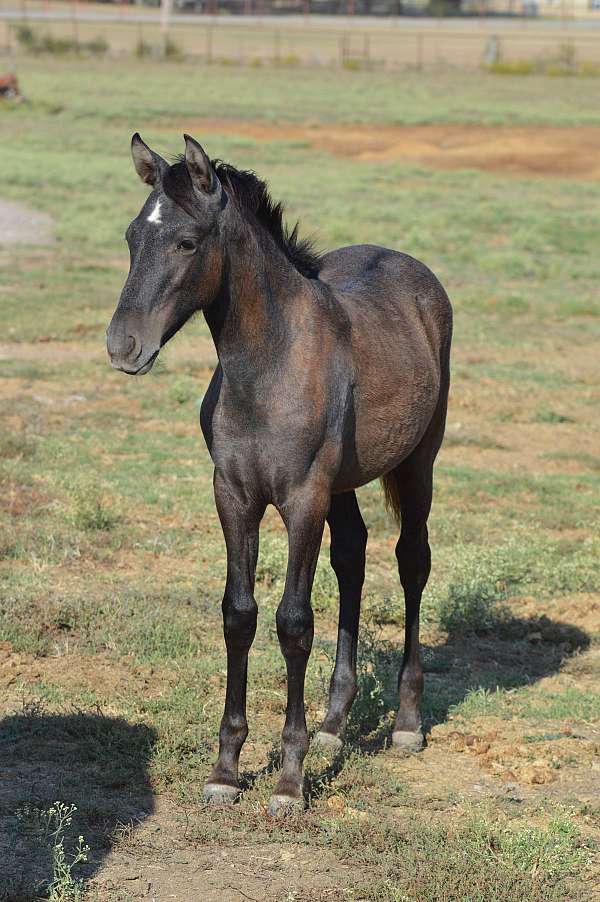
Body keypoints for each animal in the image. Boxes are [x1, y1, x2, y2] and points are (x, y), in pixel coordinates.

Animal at [108, 134, 452, 820]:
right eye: (133, 236)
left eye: (186, 242)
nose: (122, 345)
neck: (269, 367)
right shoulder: (234, 496)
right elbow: (238, 614)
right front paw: (225, 770)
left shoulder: (301, 500)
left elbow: (294, 624)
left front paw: (289, 781)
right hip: (344, 485)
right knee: (353, 558)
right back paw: (334, 723)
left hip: (417, 462)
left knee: (411, 562)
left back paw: (405, 722)